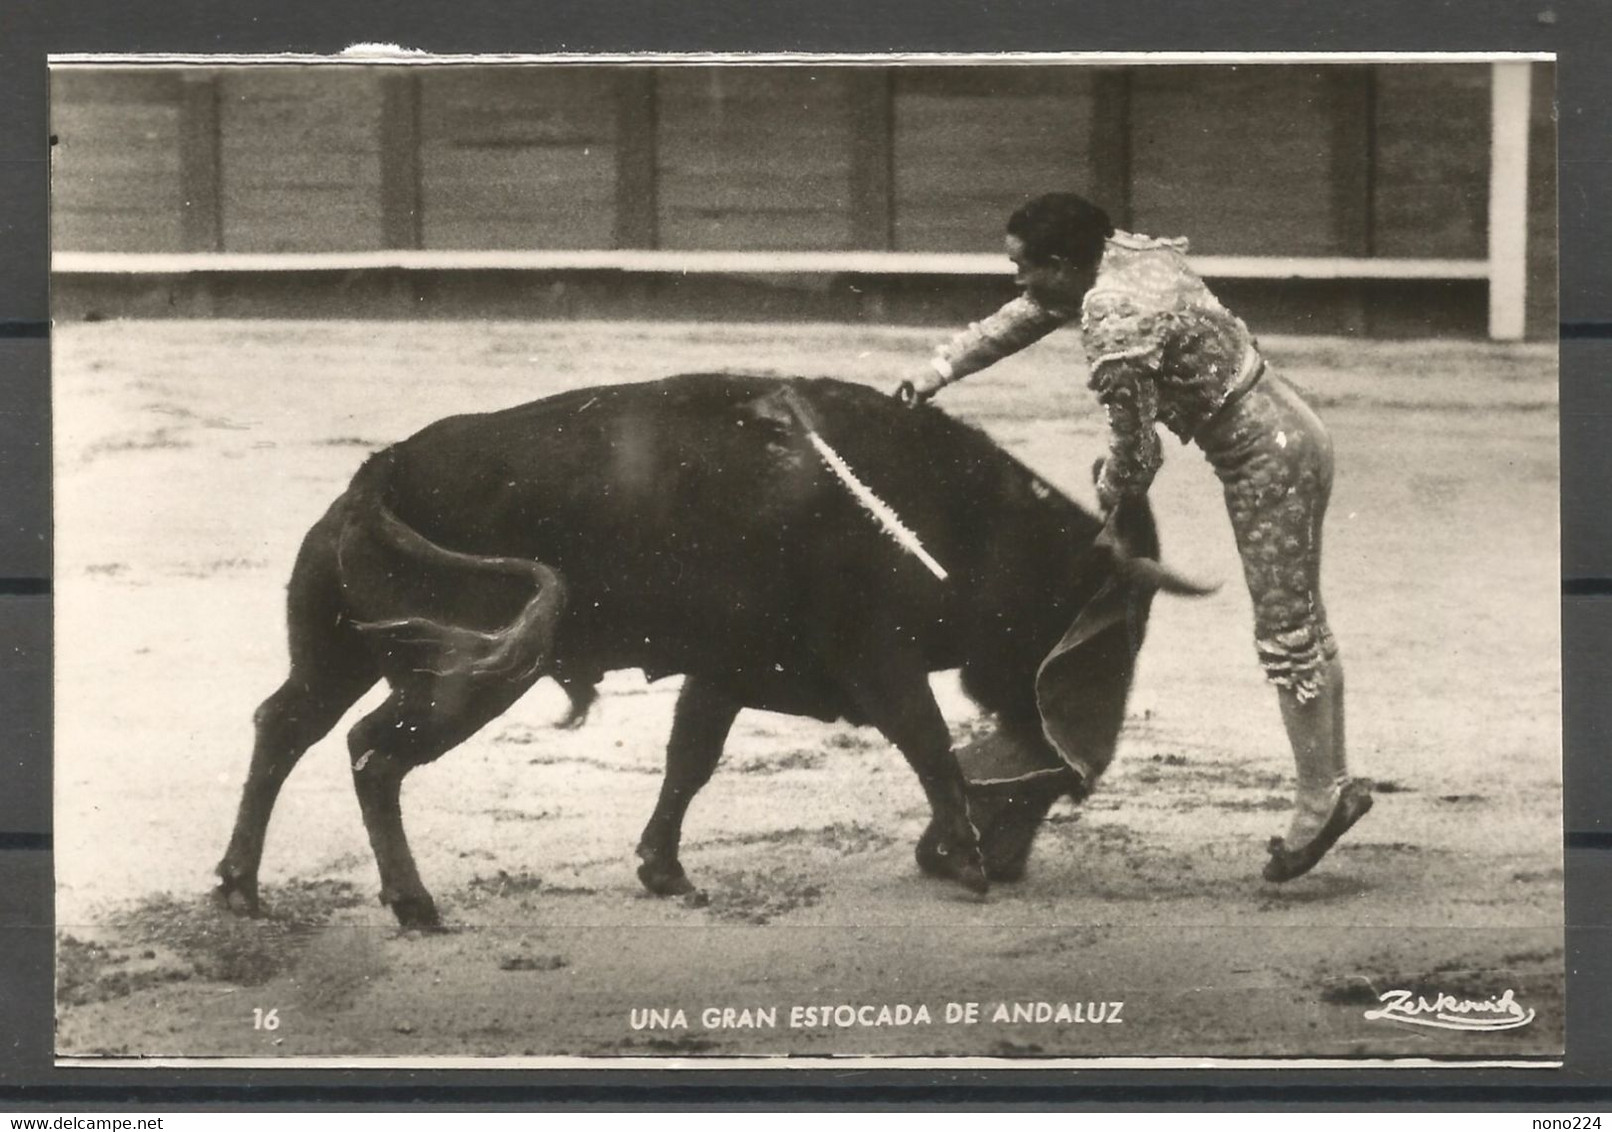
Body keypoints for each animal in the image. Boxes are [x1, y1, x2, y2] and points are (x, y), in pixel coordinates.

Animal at [214, 377, 1212, 928]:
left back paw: (238, 888)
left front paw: (663, 870)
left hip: (345, 655)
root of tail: (381, 468)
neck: (959, 522)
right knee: (373, 754)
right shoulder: (878, 658)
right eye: (1105, 635)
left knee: (285, 726)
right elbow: (930, 747)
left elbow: (689, 760)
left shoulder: (724, 670)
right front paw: (966, 863)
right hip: (463, 679)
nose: (1010, 865)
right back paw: (413, 905)